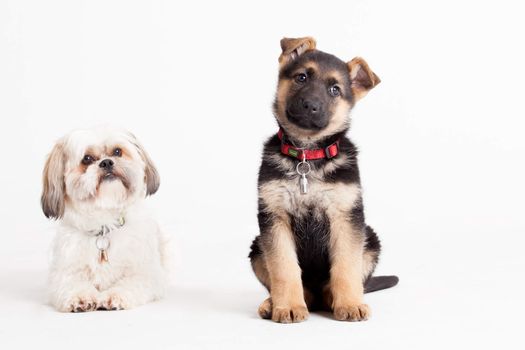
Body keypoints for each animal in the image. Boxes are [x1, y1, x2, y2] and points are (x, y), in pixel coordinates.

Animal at [41, 127, 168, 314]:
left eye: (117, 152)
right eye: (87, 159)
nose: (106, 162)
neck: (104, 224)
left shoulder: (146, 274)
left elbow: (131, 283)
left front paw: (114, 296)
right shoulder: (64, 273)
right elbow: (72, 284)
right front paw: (81, 297)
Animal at [250, 37, 398, 322]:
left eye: (334, 90)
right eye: (302, 77)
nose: (310, 105)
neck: (307, 157)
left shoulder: (346, 216)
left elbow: (345, 267)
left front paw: (350, 303)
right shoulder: (275, 217)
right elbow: (284, 269)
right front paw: (288, 306)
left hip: (370, 240)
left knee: (338, 285)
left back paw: (335, 299)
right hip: (257, 247)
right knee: (299, 288)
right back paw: (274, 302)